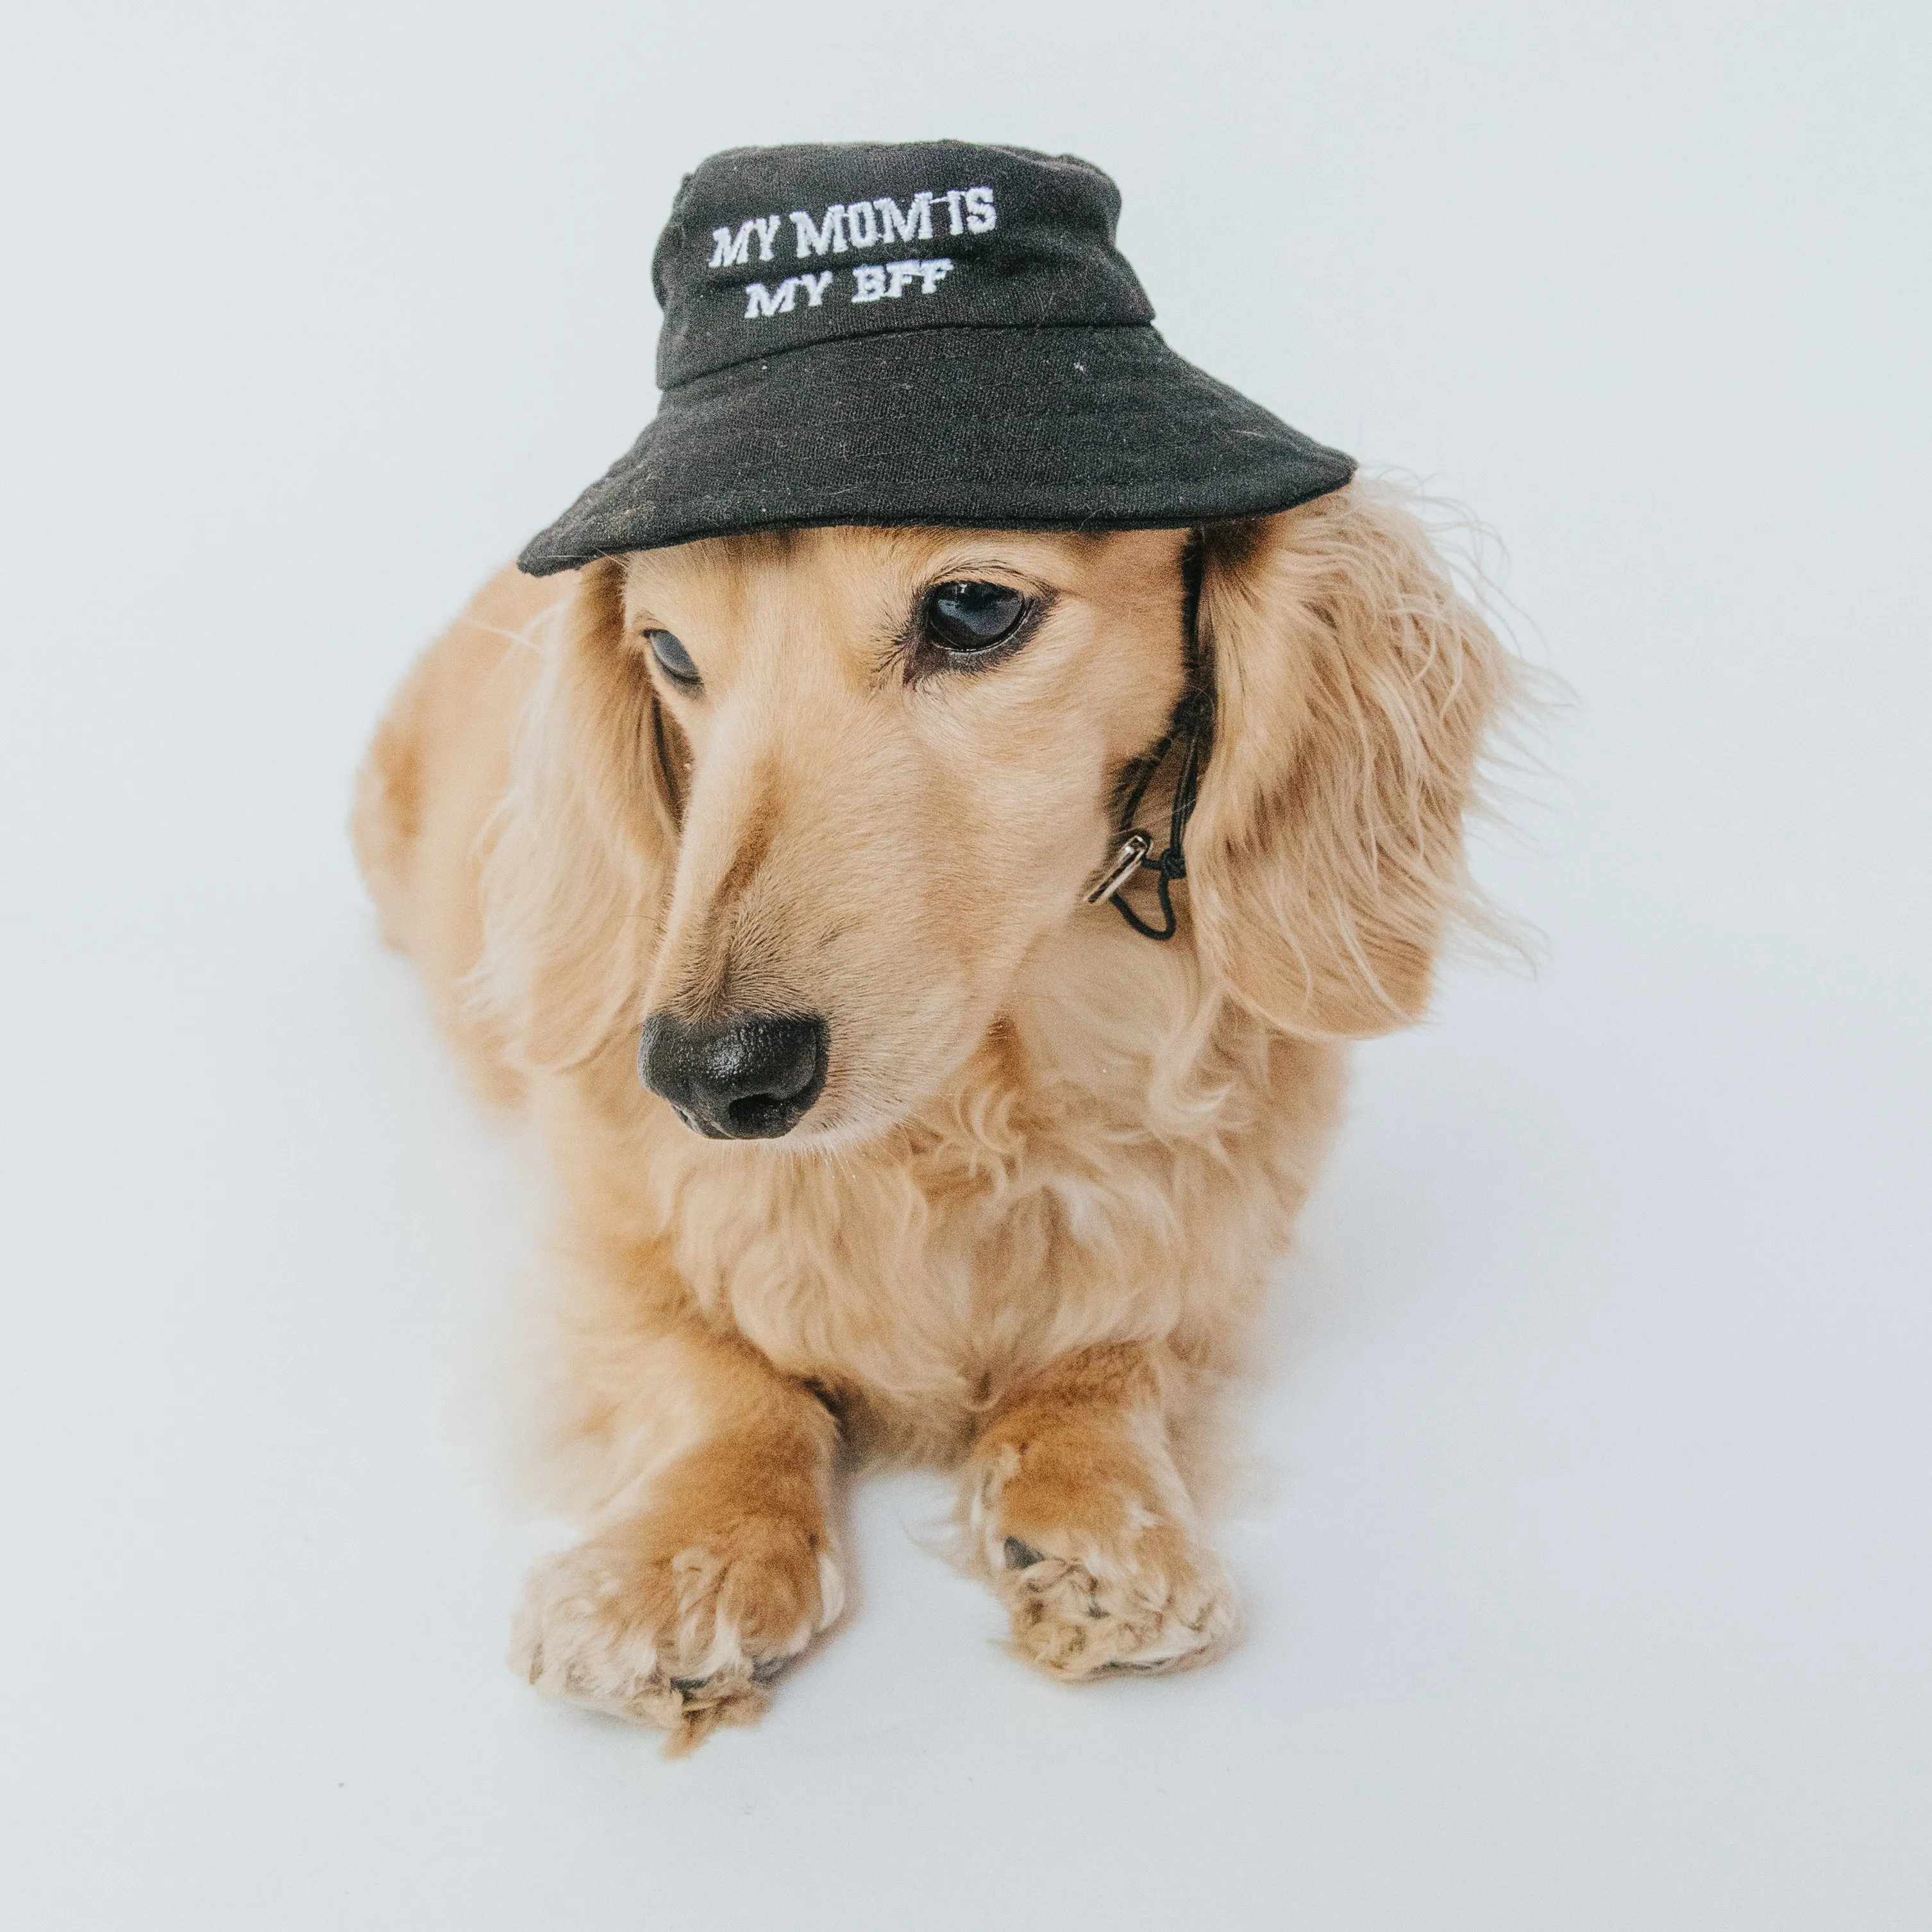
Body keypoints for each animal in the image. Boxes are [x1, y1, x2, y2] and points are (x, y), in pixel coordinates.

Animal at [355, 479, 1515, 1754]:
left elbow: (1107, 1362)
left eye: (970, 610)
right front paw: (688, 1554)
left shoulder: (1205, 1266)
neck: (964, 1114)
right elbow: (719, 1380)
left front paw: (1097, 1520)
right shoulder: (596, 1247)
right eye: (668, 652)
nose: (705, 1077)